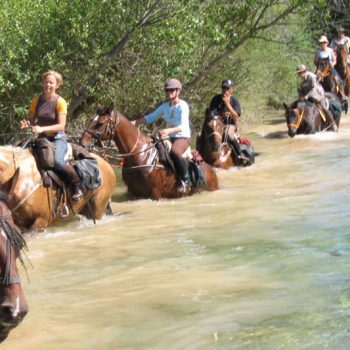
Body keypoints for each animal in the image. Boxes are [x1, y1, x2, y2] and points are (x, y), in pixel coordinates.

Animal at [80, 103, 217, 200]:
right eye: (91, 120)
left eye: (100, 123)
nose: (82, 143)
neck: (139, 154)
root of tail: (211, 170)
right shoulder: (132, 192)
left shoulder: (154, 194)